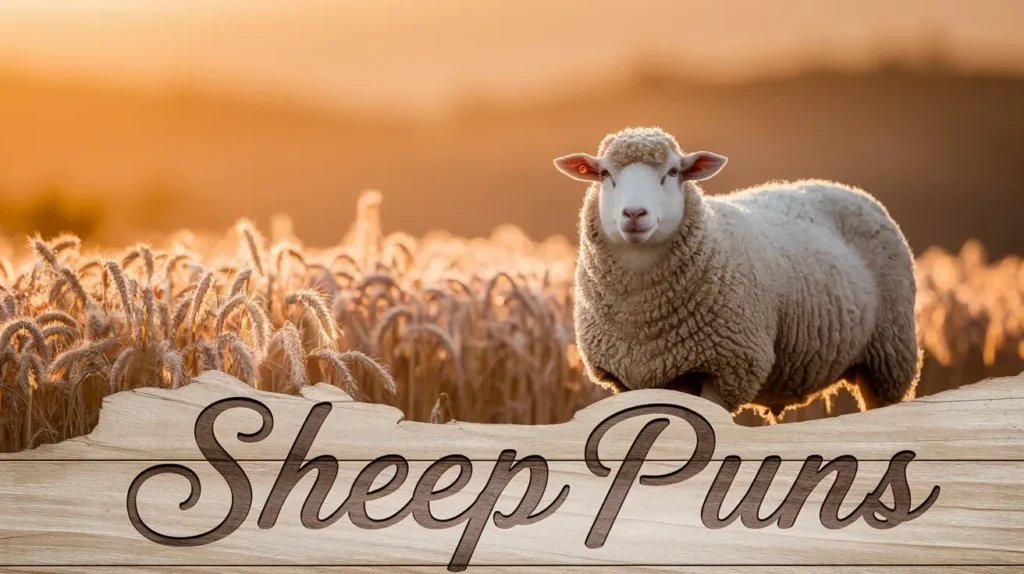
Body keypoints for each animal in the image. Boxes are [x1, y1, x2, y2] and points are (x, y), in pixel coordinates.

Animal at [552, 126, 922, 418]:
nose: (634, 214)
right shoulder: (630, 379)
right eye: (604, 174)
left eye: (672, 172)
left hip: (889, 359)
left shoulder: (730, 368)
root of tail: (847, 189)